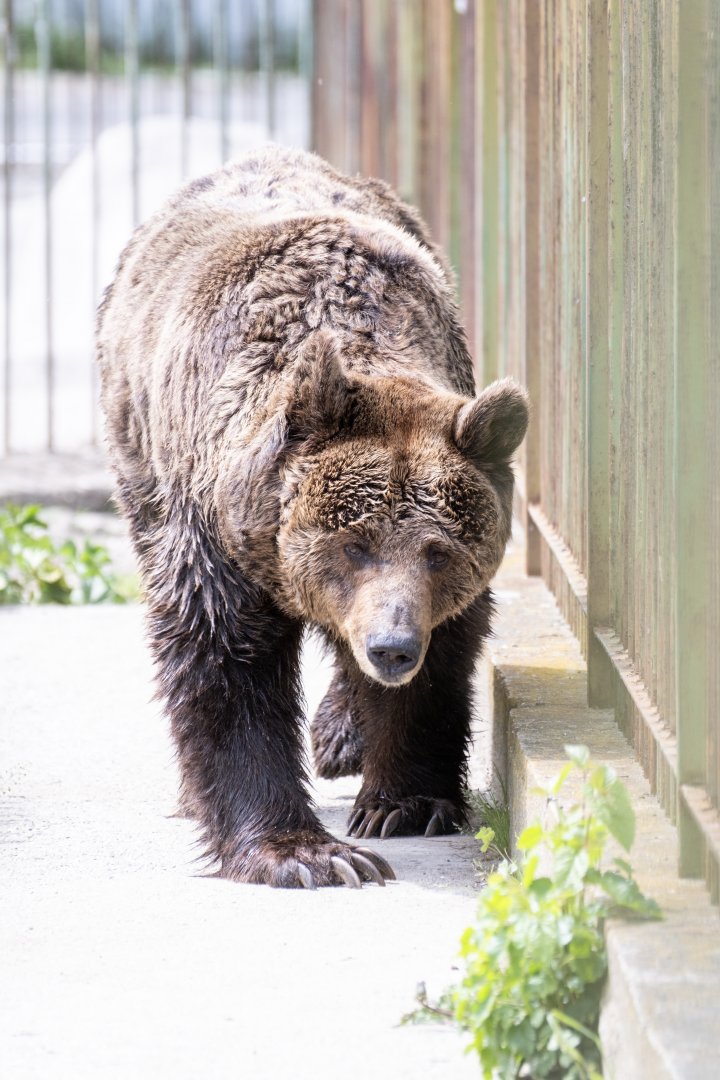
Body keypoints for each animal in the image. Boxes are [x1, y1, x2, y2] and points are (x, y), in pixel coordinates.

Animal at [96, 145, 528, 889]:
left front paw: (402, 804)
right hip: (137, 458)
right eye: (352, 544)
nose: (392, 645)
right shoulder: (216, 534)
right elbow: (225, 658)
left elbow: (444, 654)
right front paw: (306, 853)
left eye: (439, 552)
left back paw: (342, 735)